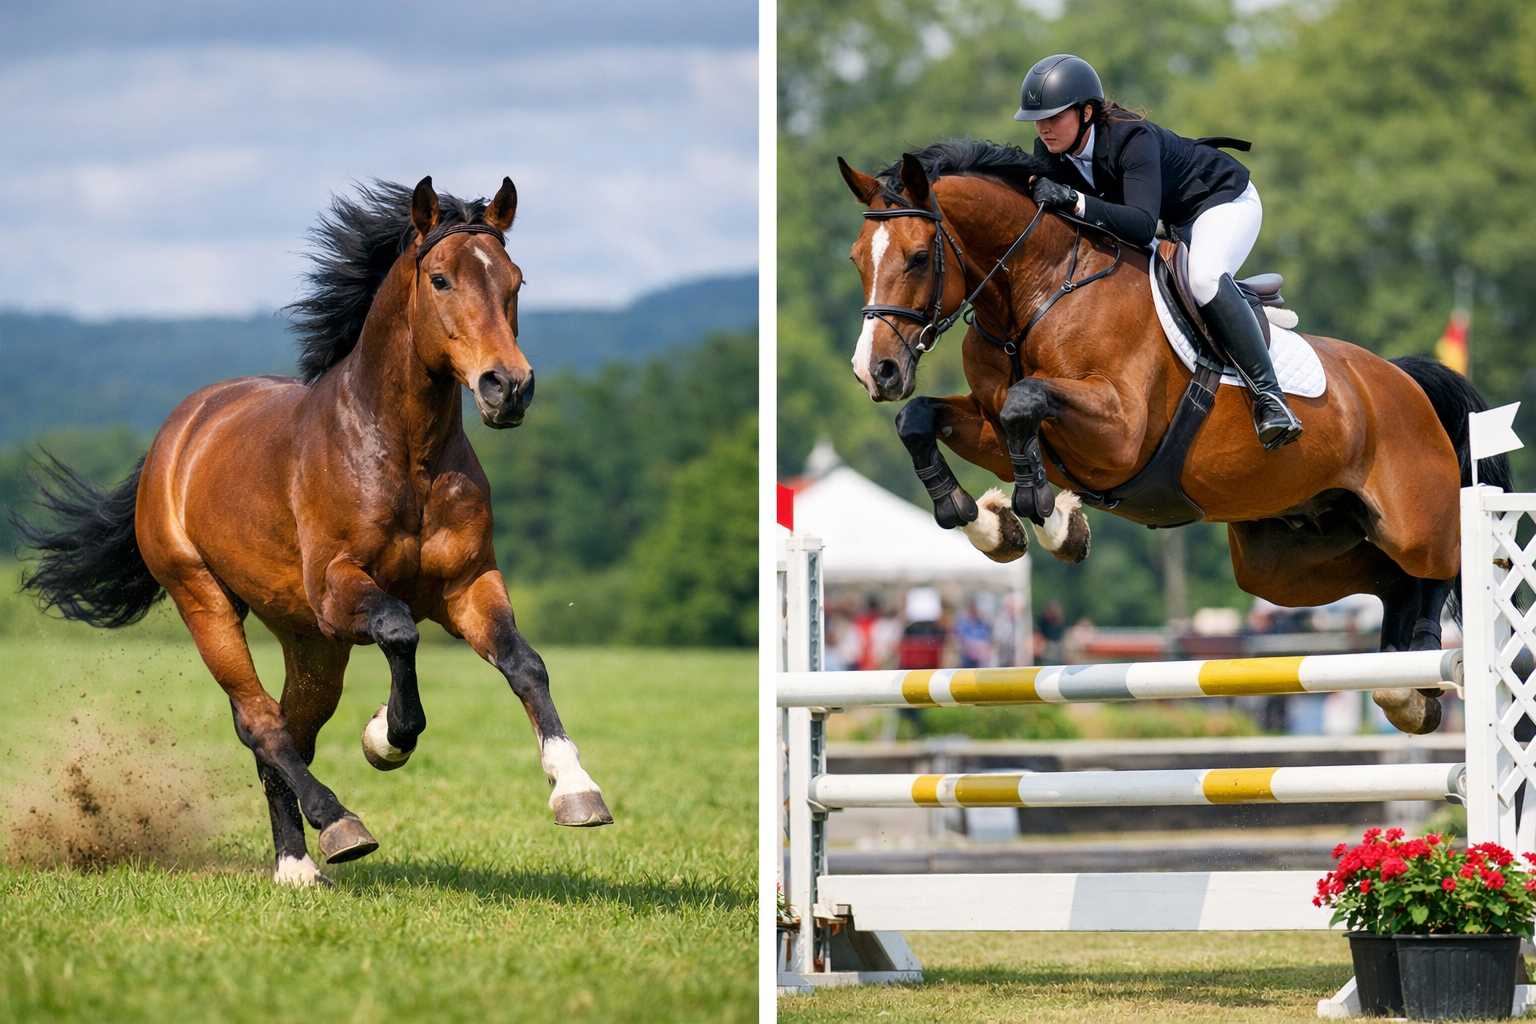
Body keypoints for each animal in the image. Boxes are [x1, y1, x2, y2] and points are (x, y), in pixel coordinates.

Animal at [15, 176, 612, 886]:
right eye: (440, 279)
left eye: (515, 280)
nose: (508, 387)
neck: (404, 457)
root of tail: (177, 435)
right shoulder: (337, 591)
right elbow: (399, 631)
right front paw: (386, 737)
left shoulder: (466, 584)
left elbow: (525, 663)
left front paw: (576, 789)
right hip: (206, 600)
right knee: (260, 723)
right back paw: (336, 829)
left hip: (309, 643)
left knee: (290, 730)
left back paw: (298, 862)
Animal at [836, 140, 1512, 736]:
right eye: (857, 259)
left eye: (917, 257)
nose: (876, 372)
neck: (1038, 291)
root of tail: (1405, 380)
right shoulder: (992, 419)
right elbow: (921, 421)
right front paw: (991, 524)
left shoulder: (1118, 432)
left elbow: (1026, 406)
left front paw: (1049, 519)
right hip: (1284, 558)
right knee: (1387, 579)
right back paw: (1407, 688)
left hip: (1412, 521)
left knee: (1438, 565)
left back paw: (1420, 665)